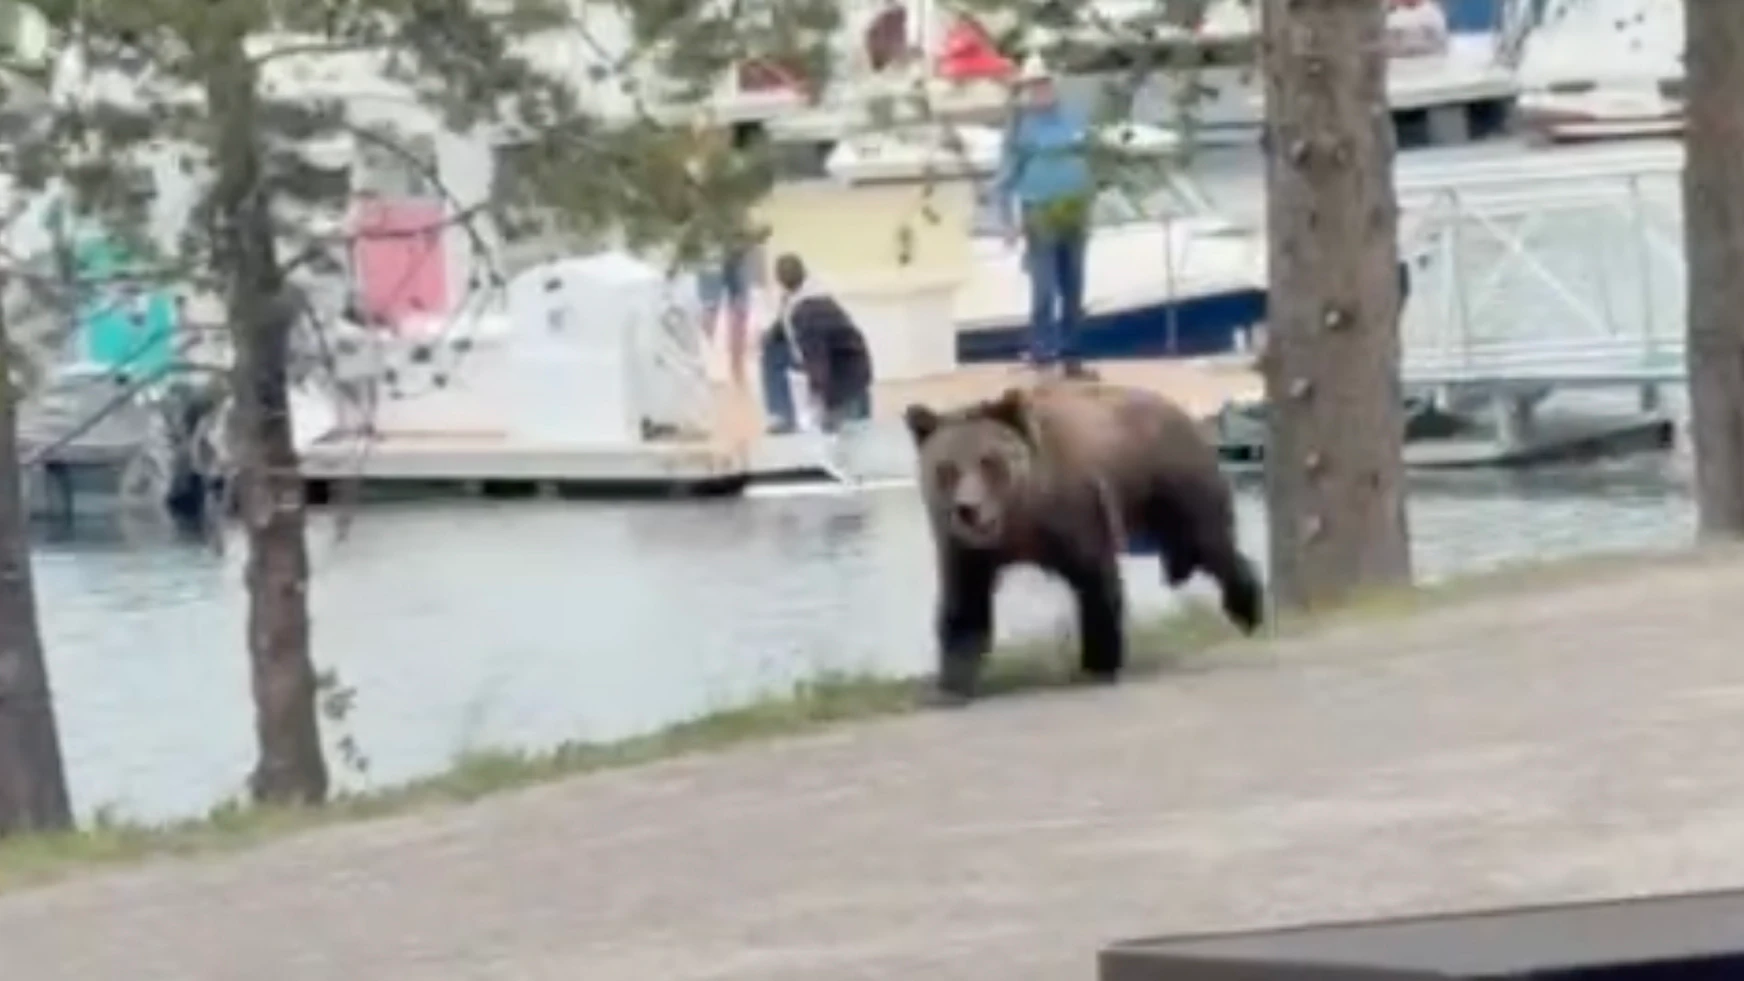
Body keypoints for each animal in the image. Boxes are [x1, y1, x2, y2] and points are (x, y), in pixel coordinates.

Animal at [903, 381, 1264, 702]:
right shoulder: (966, 549)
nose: (968, 508)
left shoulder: (1075, 511)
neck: (1020, 515)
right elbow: (965, 605)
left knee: (1210, 544)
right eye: (946, 469)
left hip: (1173, 477)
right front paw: (951, 684)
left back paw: (1247, 610)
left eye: (989, 462)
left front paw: (1098, 664)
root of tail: (1182, 412)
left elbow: (1095, 582)